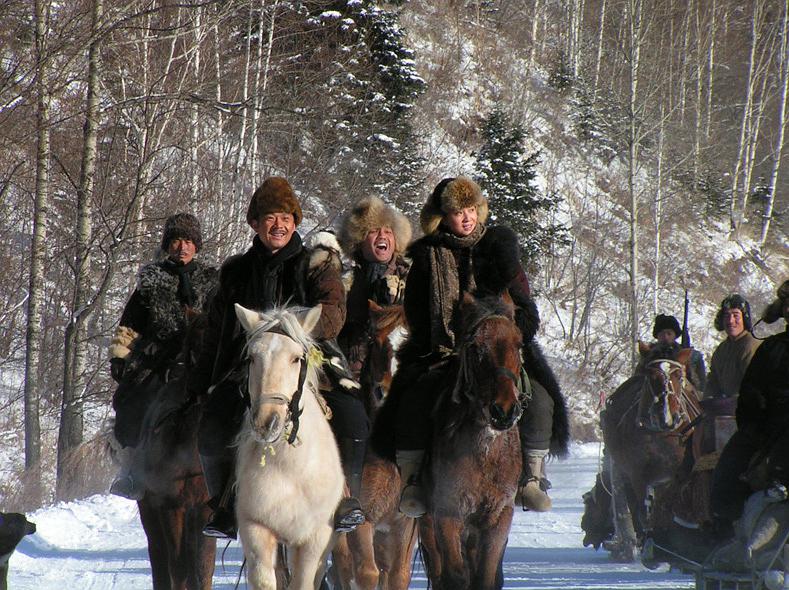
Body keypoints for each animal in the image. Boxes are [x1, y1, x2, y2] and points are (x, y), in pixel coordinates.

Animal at [234, 306, 344, 590]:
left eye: (296, 359)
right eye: (252, 358)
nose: (267, 423)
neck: (290, 470)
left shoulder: (315, 537)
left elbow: (303, 582)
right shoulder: (255, 527)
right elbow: (264, 580)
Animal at [330, 302, 422, 590]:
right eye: (375, 341)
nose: (385, 391)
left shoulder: (403, 523)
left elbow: (398, 575)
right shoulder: (363, 519)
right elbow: (365, 573)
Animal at [418, 294, 524, 588]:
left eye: (519, 344)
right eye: (475, 347)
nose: (504, 411)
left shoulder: (498, 518)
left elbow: (486, 578)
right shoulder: (448, 514)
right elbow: (454, 577)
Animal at [596, 342, 700, 564]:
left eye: (679, 376)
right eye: (651, 377)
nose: (666, 417)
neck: (660, 434)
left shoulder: (678, 473)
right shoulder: (638, 474)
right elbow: (642, 513)